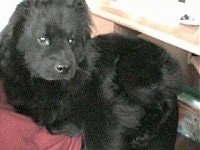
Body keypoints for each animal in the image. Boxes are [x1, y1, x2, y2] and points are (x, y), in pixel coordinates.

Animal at [0, 0, 184, 149]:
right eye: (43, 39)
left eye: (71, 40)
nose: (64, 67)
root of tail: (171, 59)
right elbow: (50, 122)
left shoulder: (106, 108)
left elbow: (98, 138)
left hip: (133, 77)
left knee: (166, 103)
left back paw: (144, 134)